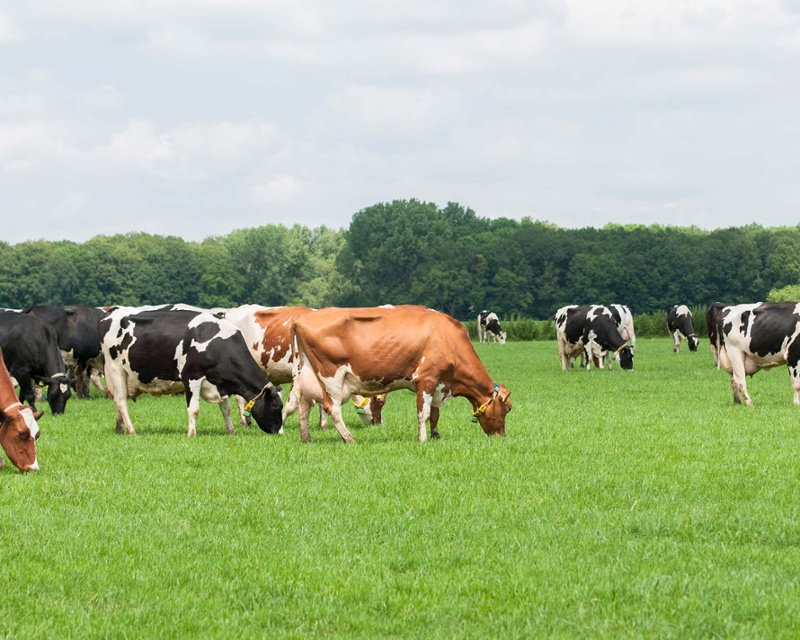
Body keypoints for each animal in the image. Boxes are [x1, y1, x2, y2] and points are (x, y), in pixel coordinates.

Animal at [98, 305, 283, 436]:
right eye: (275, 406)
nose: (280, 432)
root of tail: (110, 314)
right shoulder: (192, 376)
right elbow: (194, 409)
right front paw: (191, 433)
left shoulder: (219, 383)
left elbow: (226, 408)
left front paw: (230, 431)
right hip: (115, 369)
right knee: (121, 401)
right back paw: (132, 431)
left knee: (118, 403)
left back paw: (120, 429)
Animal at [291, 306, 511, 443]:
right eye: (508, 408)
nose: (501, 436)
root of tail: (300, 320)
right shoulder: (427, 379)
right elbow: (423, 413)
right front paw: (422, 439)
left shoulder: (438, 383)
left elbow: (434, 414)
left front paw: (435, 436)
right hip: (331, 377)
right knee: (333, 409)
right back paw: (349, 438)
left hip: (308, 374)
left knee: (303, 406)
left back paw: (306, 438)